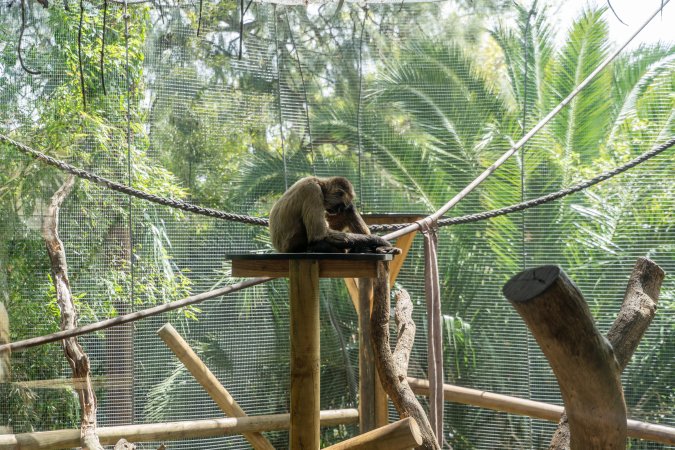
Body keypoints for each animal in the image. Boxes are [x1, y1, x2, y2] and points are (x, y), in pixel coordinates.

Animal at [269, 176, 400, 254]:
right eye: (340, 205)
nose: (338, 210)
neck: (317, 182)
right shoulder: (313, 190)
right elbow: (318, 236)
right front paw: (377, 240)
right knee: (318, 244)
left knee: (350, 209)